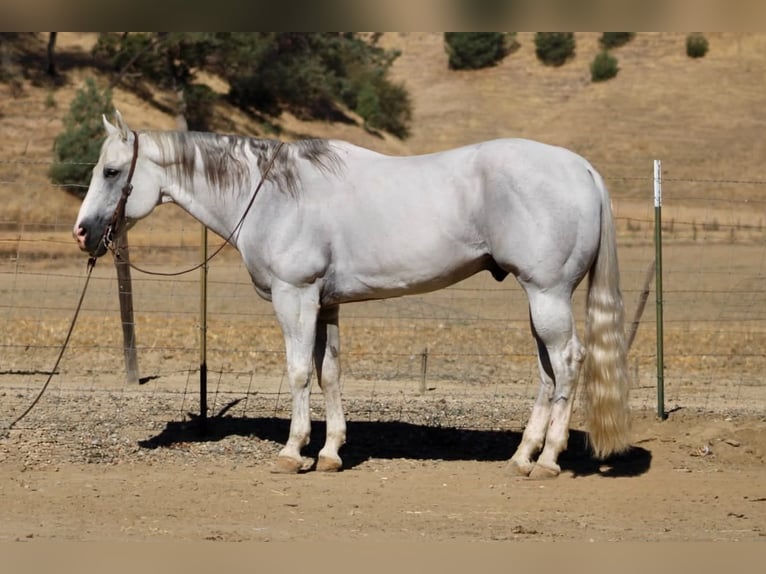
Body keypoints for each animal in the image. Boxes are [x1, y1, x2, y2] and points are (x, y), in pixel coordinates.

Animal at [73, 111, 630, 478]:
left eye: (111, 171)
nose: (82, 232)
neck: (273, 192)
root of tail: (581, 168)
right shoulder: (326, 304)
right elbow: (329, 373)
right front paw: (330, 453)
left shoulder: (295, 297)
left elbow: (299, 371)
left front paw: (293, 451)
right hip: (539, 299)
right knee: (547, 371)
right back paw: (521, 457)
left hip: (548, 294)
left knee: (569, 361)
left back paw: (549, 460)